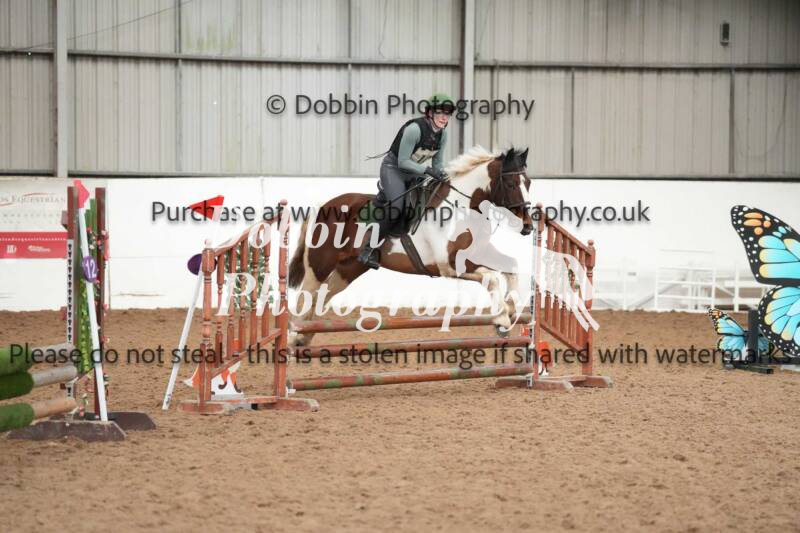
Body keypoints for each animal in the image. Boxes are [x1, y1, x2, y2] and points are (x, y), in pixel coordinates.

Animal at [288, 146, 534, 346]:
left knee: (322, 296)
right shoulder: (449, 265)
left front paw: (512, 309)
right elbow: (492, 277)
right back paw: (292, 338)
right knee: (305, 296)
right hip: (319, 264)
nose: (528, 226)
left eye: (529, 183)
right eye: (511, 184)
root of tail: (323, 207)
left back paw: (304, 337)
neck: (462, 206)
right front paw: (502, 319)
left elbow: (511, 266)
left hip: (348, 270)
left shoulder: (478, 254)